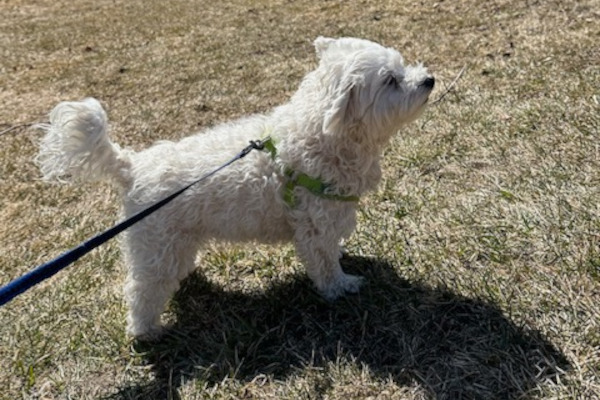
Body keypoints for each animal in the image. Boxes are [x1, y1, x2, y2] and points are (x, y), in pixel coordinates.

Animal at [36, 37, 432, 340]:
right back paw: (146, 332)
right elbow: (325, 265)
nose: (429, 79)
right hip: (155, 246)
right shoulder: (315, 228)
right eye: (391, 81)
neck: (321, 137)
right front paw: (341, 287)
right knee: (140, 291)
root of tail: (131, 167)